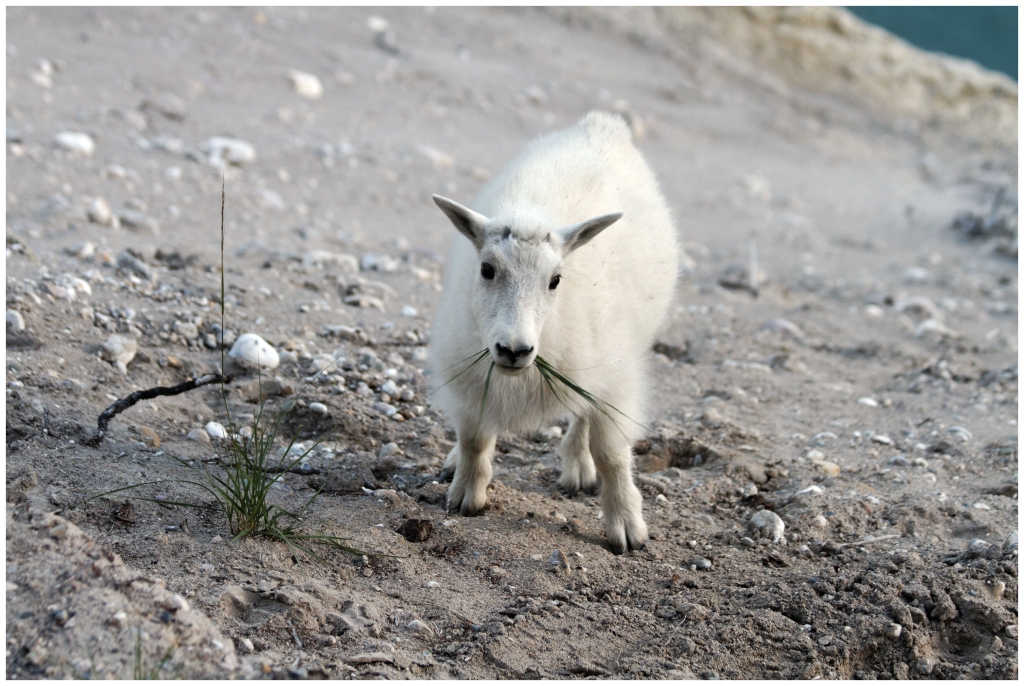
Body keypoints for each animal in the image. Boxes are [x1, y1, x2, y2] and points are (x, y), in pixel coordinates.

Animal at [428, 111, 679, 553]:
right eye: (486, 268)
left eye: (556, 280)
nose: (514, 350)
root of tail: (602, 124)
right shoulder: (468, 379)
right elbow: (474, 438)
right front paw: (465, 496)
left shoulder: (615, 382)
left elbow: (612, 454)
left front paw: (627, 527)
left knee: (582, 421)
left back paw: (578, 467)